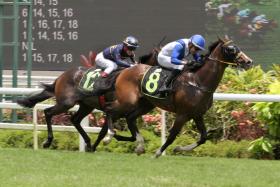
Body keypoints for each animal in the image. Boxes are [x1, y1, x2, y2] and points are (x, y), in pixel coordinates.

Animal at [104, 37, 253, 157]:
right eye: (231, 49)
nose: (248, 61)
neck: (198, 82)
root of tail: (126, 70)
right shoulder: (183, 114)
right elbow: (172, 136)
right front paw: (158, 153)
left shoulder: (197, 114)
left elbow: (203, 137)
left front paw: (178, 149)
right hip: (128, 100)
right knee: (110, 109)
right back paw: (109, 136)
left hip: (146, 104)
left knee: (129, 118)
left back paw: (139, 145)